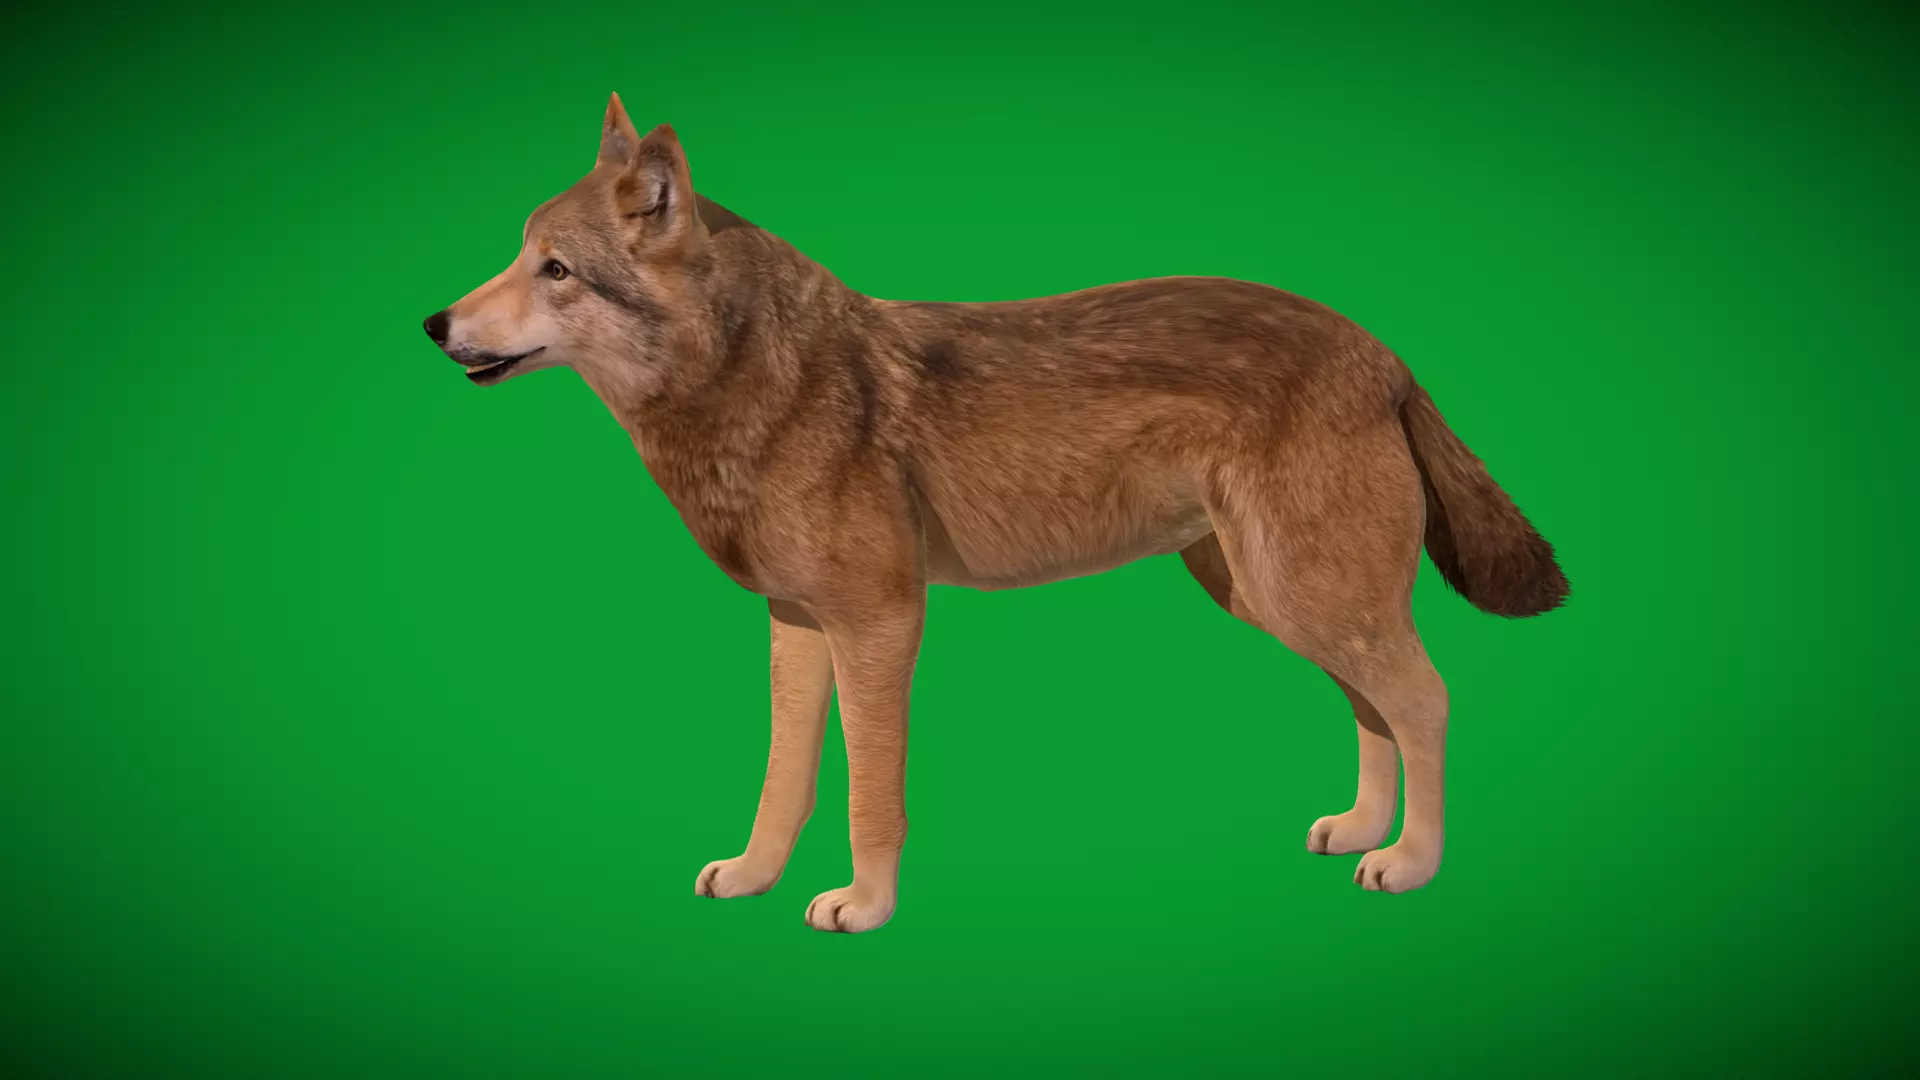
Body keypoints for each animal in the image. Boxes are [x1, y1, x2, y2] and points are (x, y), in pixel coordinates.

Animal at [422, 93, 1569, 933]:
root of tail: (1382, 351)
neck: (756, 381)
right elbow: (784, 780)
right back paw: (1365, 831)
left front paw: (864, 906)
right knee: (1373, 705)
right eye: (518, 254)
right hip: (1280, 599)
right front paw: (753, 876)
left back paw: (1412, 861)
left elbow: (870, 791)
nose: (433, 324)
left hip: (1310, 596)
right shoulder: (798, 627)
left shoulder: (881, 622)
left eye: (556, 270)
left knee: (1425, 700)